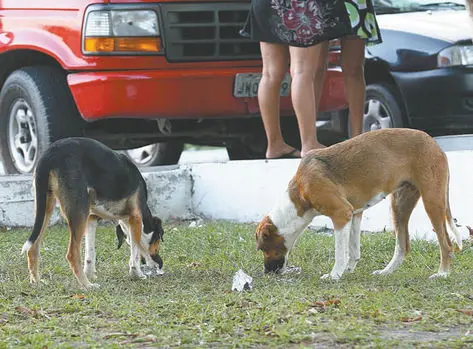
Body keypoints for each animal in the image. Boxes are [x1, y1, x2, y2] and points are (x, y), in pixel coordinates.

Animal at [21, 137, 164, 286]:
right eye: (158, 239)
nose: (161, 265)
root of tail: (49, 153)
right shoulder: (136, 217)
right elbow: (135, 251)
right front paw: (137, 274)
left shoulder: (91, 218)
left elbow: (90, 253)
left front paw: (90, 273)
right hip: (78, 211)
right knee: (72, 254)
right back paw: (87, 285)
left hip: (45, 206)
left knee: (33, 248)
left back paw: (37, 282)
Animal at [256, 128, 462, 280]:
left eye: (261, 248)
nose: (267, 272)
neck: (299, 192)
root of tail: (434, 143)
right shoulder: (354, 214)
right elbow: (353, 249)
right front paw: (347, 270)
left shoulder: (341, 214)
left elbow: (340, 252)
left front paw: (335, 275)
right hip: (399, 206)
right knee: (403, 246)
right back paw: (386, 271)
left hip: (432, 202)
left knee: (446, 244)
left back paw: (442, 273)